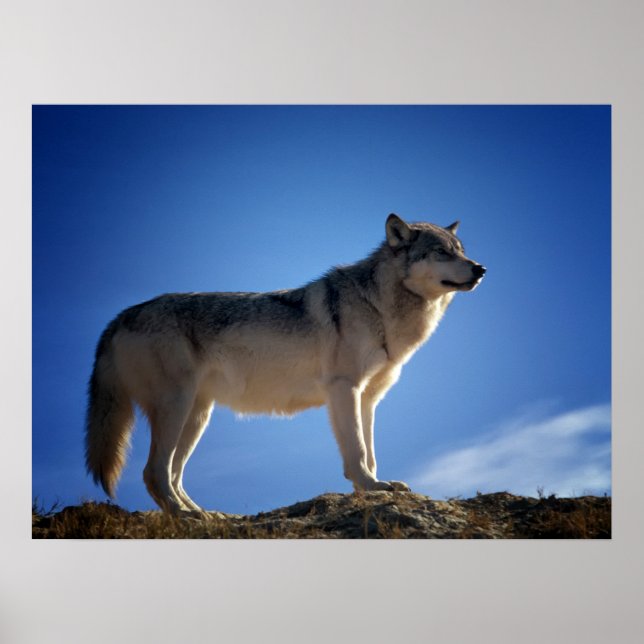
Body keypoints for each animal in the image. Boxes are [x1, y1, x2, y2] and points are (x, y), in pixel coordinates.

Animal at [85, 214, 485, 514]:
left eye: (461, 251)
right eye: (441, 253)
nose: (480, 269)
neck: (379, 306)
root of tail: (120, 317)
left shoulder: (368, 399)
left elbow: (370, 452)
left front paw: (373, 487)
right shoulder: (344, 389)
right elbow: (357, 451)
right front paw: (371, 488)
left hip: (197, 416)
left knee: (172, 474)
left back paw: (205, 514)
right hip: (177, 408)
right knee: (154, 472)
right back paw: (185, 517)